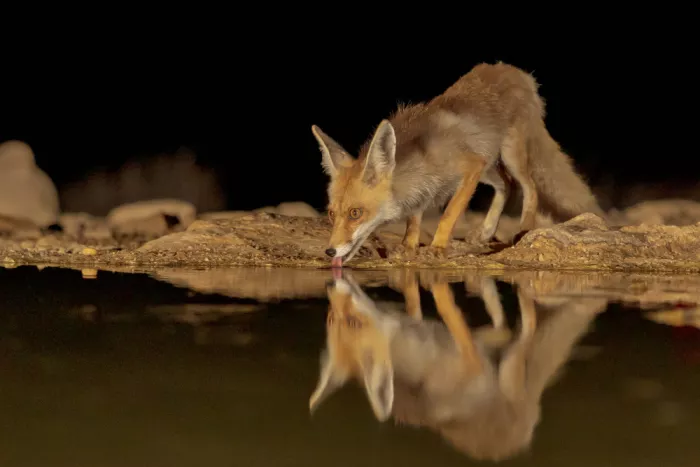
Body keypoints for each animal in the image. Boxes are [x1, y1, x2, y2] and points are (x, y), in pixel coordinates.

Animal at [309, 271, 604, 461]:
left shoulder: (473, 357)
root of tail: (513, 446)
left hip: (509, 370)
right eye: (331, 317)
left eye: (353, 322)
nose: (330, 287)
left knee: (527, 327)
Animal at [311, 62, 605, 266]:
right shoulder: (432, 184)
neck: (423, 155)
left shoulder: (469, 167)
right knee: (506, 185)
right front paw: (409, 246)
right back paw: (486, 232)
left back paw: (522, 229)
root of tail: (518, 72)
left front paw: (439, 247)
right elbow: (414, 219)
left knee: (528, 186)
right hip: (489, 165)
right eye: (331, 214)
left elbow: (449, 214)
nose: (329, 250)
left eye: (355, 213)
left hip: (507, 156)